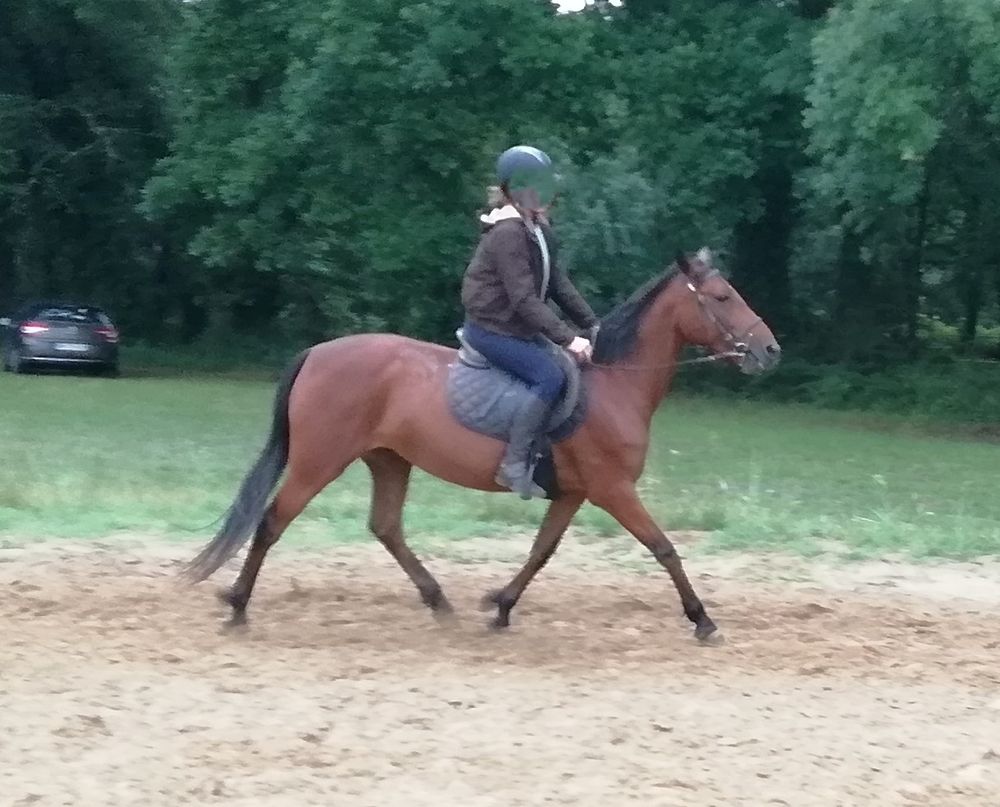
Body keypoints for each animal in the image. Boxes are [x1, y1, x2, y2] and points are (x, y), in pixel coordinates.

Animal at [185, 249, 780, 642]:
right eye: (722, 297)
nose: (770, 350)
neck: (614, 384)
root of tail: (317, 352)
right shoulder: (613, 489)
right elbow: (664, 548)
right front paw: (702, 618)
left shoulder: (574, 494)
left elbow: (541, 552)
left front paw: (500, 607)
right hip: (319, 461)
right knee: (272, 522)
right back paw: (238, 607)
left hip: (389, 460)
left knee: (386, 527)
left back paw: (439, 602)